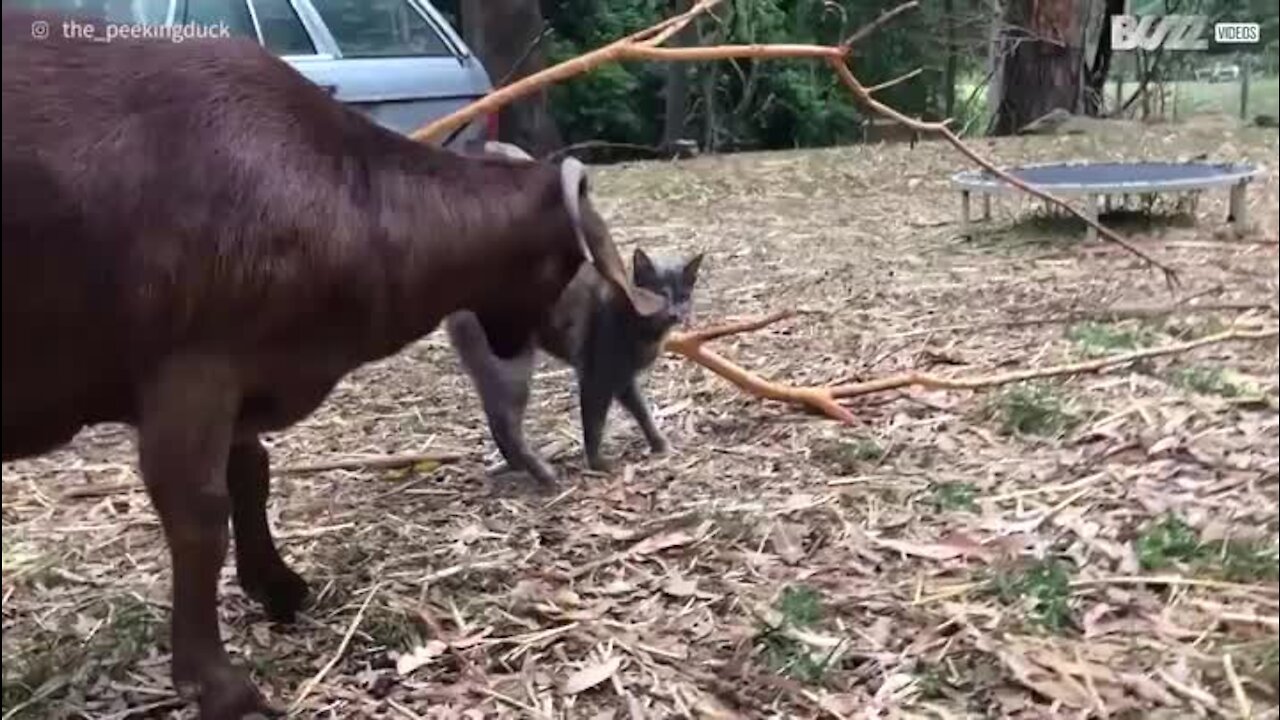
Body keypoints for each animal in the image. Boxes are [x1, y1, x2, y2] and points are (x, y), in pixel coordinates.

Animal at [0, 12, 660, 717]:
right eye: (569, 262)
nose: (565, 335)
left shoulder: (242, 370)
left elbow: (252, 475)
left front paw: (279, 587)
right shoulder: (191, 368)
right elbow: (199, 513)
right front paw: (221, 684)